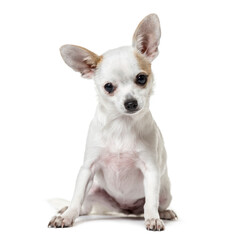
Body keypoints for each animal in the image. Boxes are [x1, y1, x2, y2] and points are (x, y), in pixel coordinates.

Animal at [48, 14, 176, 232]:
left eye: (141, 78)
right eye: (108, 87)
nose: (130, 103)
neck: (121, 125)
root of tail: (124, 210)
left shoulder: (151, 171)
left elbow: (151, 201)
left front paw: (153, 218)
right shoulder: (87, 169)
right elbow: (76, 197)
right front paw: (66, 217)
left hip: (165, 191)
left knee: (154, 203)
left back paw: (164, 213)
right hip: (93, 191)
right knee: (84, 206)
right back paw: (68, 210)